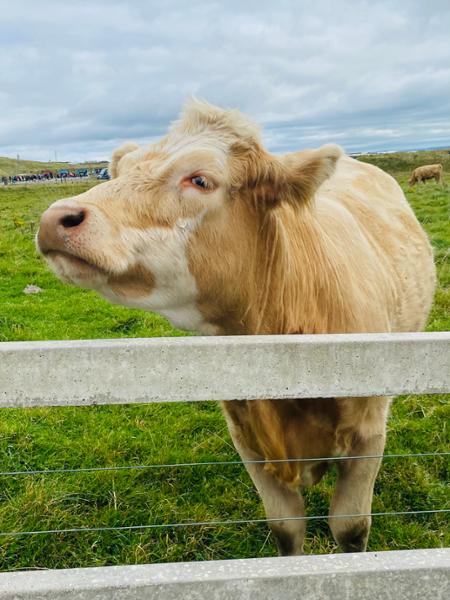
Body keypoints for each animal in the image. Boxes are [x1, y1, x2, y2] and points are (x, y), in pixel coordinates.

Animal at [37, 101, 438, 556]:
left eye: (200, 179)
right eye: (121, 172)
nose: (55, 218)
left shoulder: (368, 436)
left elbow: (350, 529)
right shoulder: (246, 437)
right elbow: (286, 528)